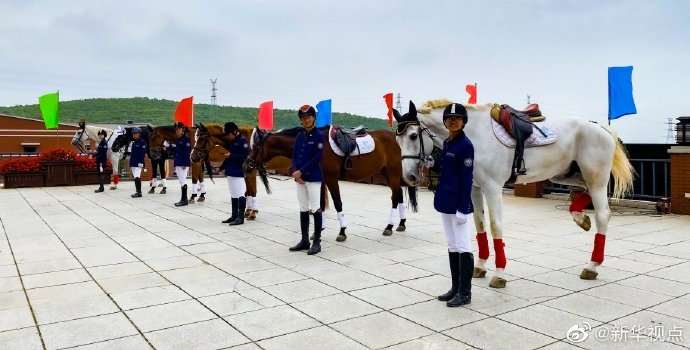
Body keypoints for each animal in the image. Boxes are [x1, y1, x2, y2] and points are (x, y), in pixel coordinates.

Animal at [245, 126, 416, 241]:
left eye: (257, 146)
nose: (247, 163)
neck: (316, 147)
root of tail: (395, 139)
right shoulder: (319, 181)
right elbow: (320, 205)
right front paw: (318, 231)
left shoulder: (331, 179)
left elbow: (337, 203)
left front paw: (342, 232)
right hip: (387, 173)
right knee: (398, 195)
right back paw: (401, 224)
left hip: (393, 173)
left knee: (395, 198)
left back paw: (389, 227)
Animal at [396, 100, 632, 288]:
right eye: (398, 141)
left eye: (414, 136)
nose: (409, 176)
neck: (474, 135)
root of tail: (599, 127)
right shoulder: (474, 187)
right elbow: (479, 225)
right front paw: (480, 266)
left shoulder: (492, 187)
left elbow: (495, 225)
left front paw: (499, 273)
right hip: (566, 174)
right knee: (583, 191)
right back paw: (580, 217)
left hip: (596, 178)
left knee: (602, 214)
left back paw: (592, 265)